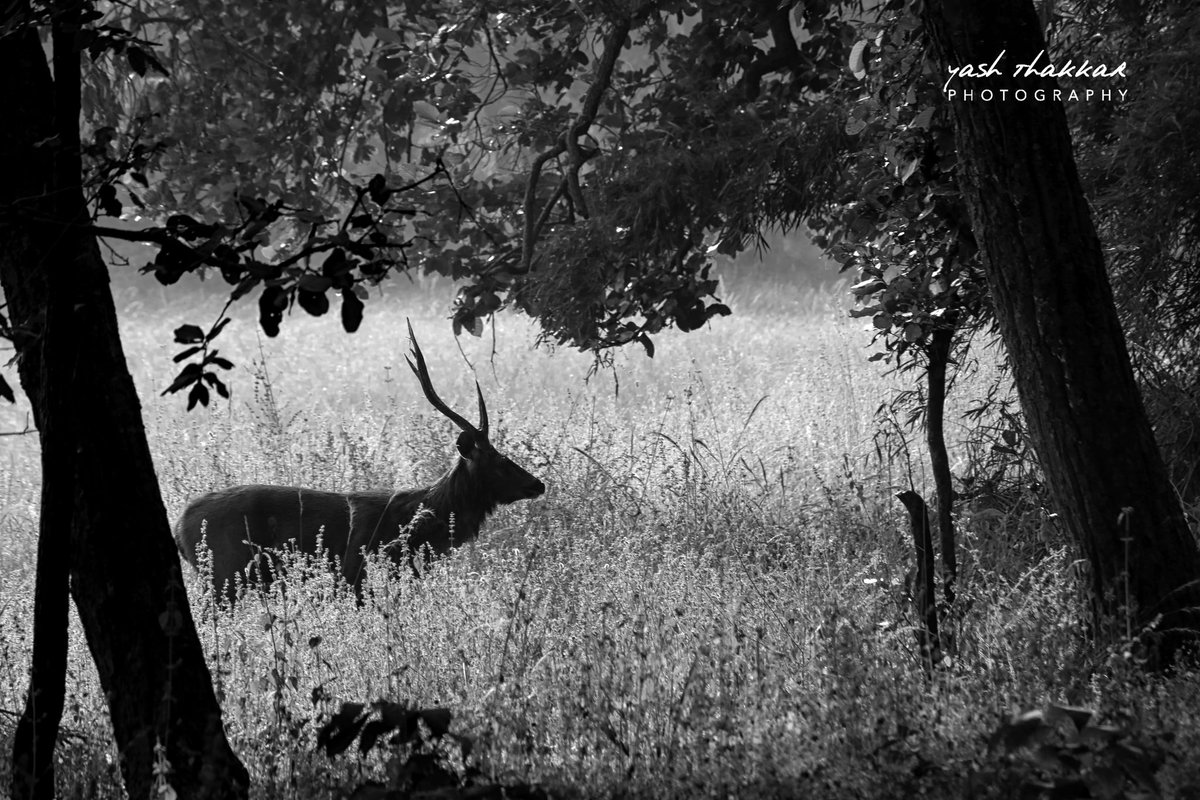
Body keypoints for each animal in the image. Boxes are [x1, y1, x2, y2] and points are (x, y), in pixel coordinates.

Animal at [174, 321, 546, 598]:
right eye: (499, 460)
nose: (538, 484)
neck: (414, 527)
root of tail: (180, 527)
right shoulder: (356, 574)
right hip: (222, 574)